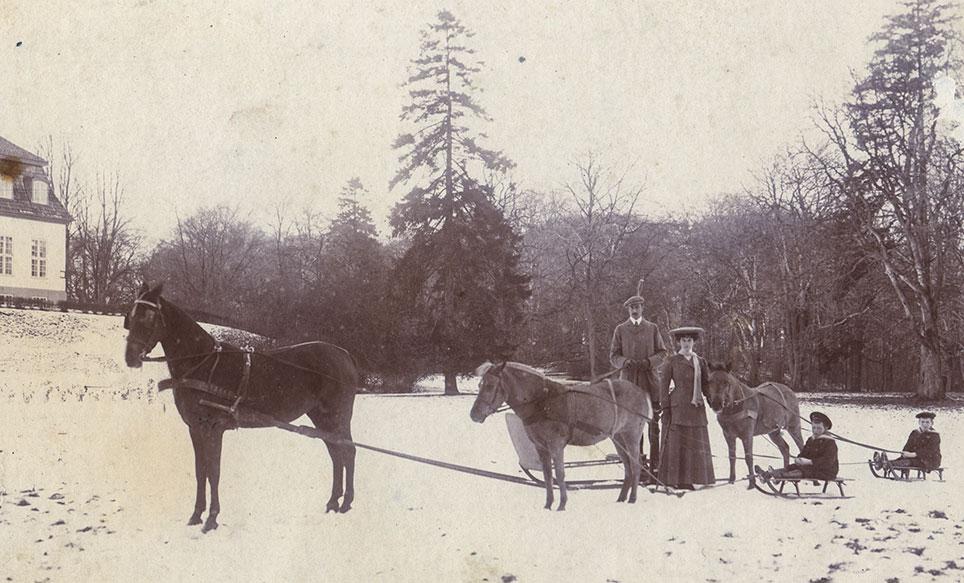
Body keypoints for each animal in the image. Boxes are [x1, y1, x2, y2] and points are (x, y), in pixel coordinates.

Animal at [123, 282, 358, 532]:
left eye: (149, 317)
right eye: (131, 316)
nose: (130, 358)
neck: (203, 364)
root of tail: (344, 355)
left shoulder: (213, 428)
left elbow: (213, 472)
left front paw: (212, 518)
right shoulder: (195, 429)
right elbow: (200, 471)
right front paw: (196, 515)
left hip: (337, 416)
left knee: (348, 451)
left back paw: (346, 502)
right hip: (321, 417)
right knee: (336, 454)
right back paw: (333, 502)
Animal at [468, 360, 652, 512]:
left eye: (490, 385)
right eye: (480, 384)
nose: (474, 415)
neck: (542, 401)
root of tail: (641, 392)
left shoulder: (556, 445)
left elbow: (560, 474)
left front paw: (562, 505)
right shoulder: (541, 447)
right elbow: (547, 475)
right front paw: (548, 505)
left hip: (631, 435)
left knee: (636, 465)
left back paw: (632, 499)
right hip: (618, 437)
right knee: (627, 466)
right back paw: (621, 498)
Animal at [704, 362, 804, 490]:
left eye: (726, 382)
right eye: (709, 381)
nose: (716, 404)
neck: (738, 406)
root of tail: (790, 391)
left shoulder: (747, 435)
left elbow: (748, 458)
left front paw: (752, 483)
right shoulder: (728, 435)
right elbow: (732, 457)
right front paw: (731, 480)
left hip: (794, 427)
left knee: (801, 445)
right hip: (773, 432)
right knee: (785, 449)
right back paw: (782, 477)